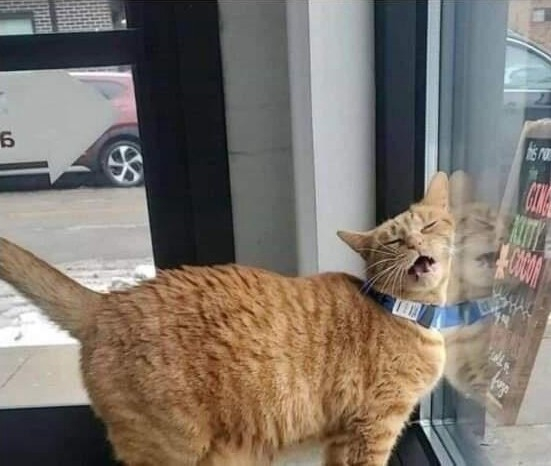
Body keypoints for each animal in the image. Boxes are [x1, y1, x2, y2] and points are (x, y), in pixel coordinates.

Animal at [0, 172, 454, 466]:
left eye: (429, 224)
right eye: (393, 241)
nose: (414, 243)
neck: (403, 311)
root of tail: (109, 302)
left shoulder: (342, 438)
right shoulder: (373, 428)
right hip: (172, 449)